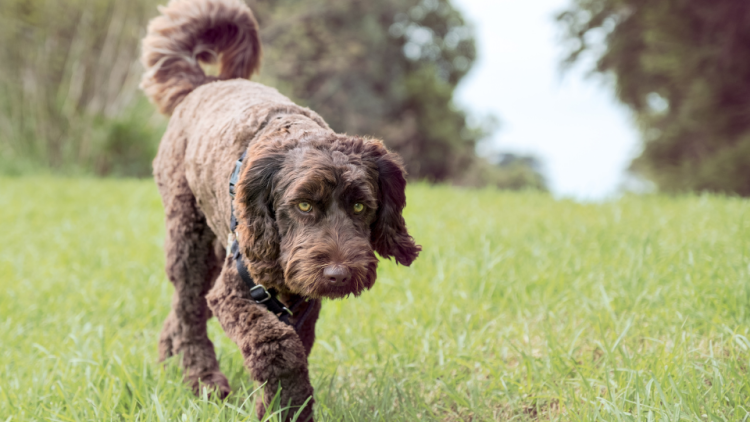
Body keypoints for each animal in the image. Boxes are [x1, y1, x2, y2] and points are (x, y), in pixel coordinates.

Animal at [141, 0, 424, 418]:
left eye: (360, 206)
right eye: (304, 204)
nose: (338, 274)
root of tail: (206, 83)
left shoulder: (304, 300)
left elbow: (294, 345)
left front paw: (275, 406)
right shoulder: (236, 291)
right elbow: (277, 347)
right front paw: (287, 411)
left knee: (182, 309)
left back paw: (167, 362)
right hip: (187, 234)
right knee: (189, 308)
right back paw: (202, 381)